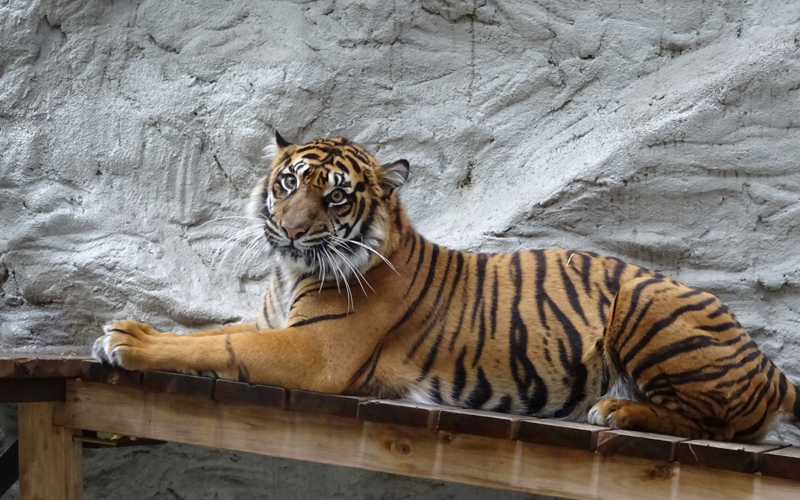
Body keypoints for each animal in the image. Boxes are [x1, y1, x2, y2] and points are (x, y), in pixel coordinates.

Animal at [90, 133, 800, 442]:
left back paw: (616, 412)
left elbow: (217, 347)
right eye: (289, 182)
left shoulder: (314, 352)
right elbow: (214, 331)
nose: (289, 231)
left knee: (718, 424)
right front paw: (139, 329)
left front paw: (126, 338)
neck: (290, 271)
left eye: (336, 195)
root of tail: (770, 365)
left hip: (648, 305)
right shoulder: (272, 326)